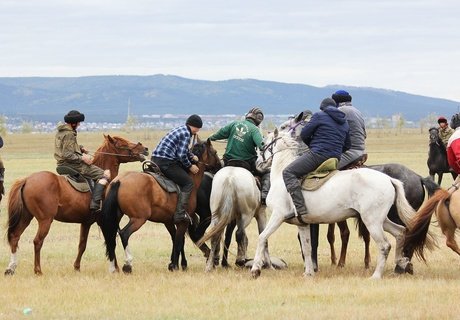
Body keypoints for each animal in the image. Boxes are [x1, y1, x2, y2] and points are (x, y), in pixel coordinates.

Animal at [4, 135, 148, 276]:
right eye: (122, 143)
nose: (145, 148)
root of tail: (27, 180)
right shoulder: (104, 222)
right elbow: (110, 241)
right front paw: (116, 268)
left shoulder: (86, 223)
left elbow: (82, 245)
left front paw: (77, 267)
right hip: (45, 220)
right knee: (37, 241)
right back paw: (38, 270)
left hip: (26, 217)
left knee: (15, 237)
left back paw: (11, 268)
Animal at [101, 139, 223, 274]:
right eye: (214, 152)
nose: (220, 166)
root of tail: (119, 181)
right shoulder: (183, 221)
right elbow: (179, 242)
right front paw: (175, 265)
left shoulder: (168, 221)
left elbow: (176, 240)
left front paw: (175, 264)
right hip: (138, 219)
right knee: (124, 234)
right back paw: (128, 264)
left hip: (115, 216)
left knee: (110, 236)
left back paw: (113, 267)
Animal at [252, 129, 416, 278]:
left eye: (263, 144)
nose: (257, 163)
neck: (281, 178)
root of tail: (389, 179)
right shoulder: (302, 224)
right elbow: (307, 248)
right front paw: (309, 273)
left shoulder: (278, 215)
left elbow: (262, 238)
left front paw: (255, 269)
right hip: (380, 220)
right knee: (400, 232)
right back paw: (403, 263)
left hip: (372, 222)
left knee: (384, 245)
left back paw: (377, 275)